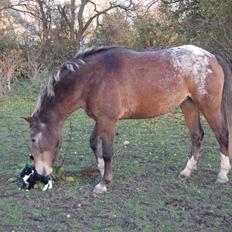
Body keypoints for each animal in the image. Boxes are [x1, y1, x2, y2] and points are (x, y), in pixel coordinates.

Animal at [23, 45, 232, 194]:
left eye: (34, 139)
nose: (41, 172)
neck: (93, 78)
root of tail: (212, 57)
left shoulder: (108, 121)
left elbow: (108, 152)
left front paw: (103, 183)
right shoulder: (101, 119)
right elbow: (93, 142)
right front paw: (101, 170)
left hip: (209, 106)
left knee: (222, 135)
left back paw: (222, 175)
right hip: (188, 105)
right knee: (197, 135)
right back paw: (187, 171)